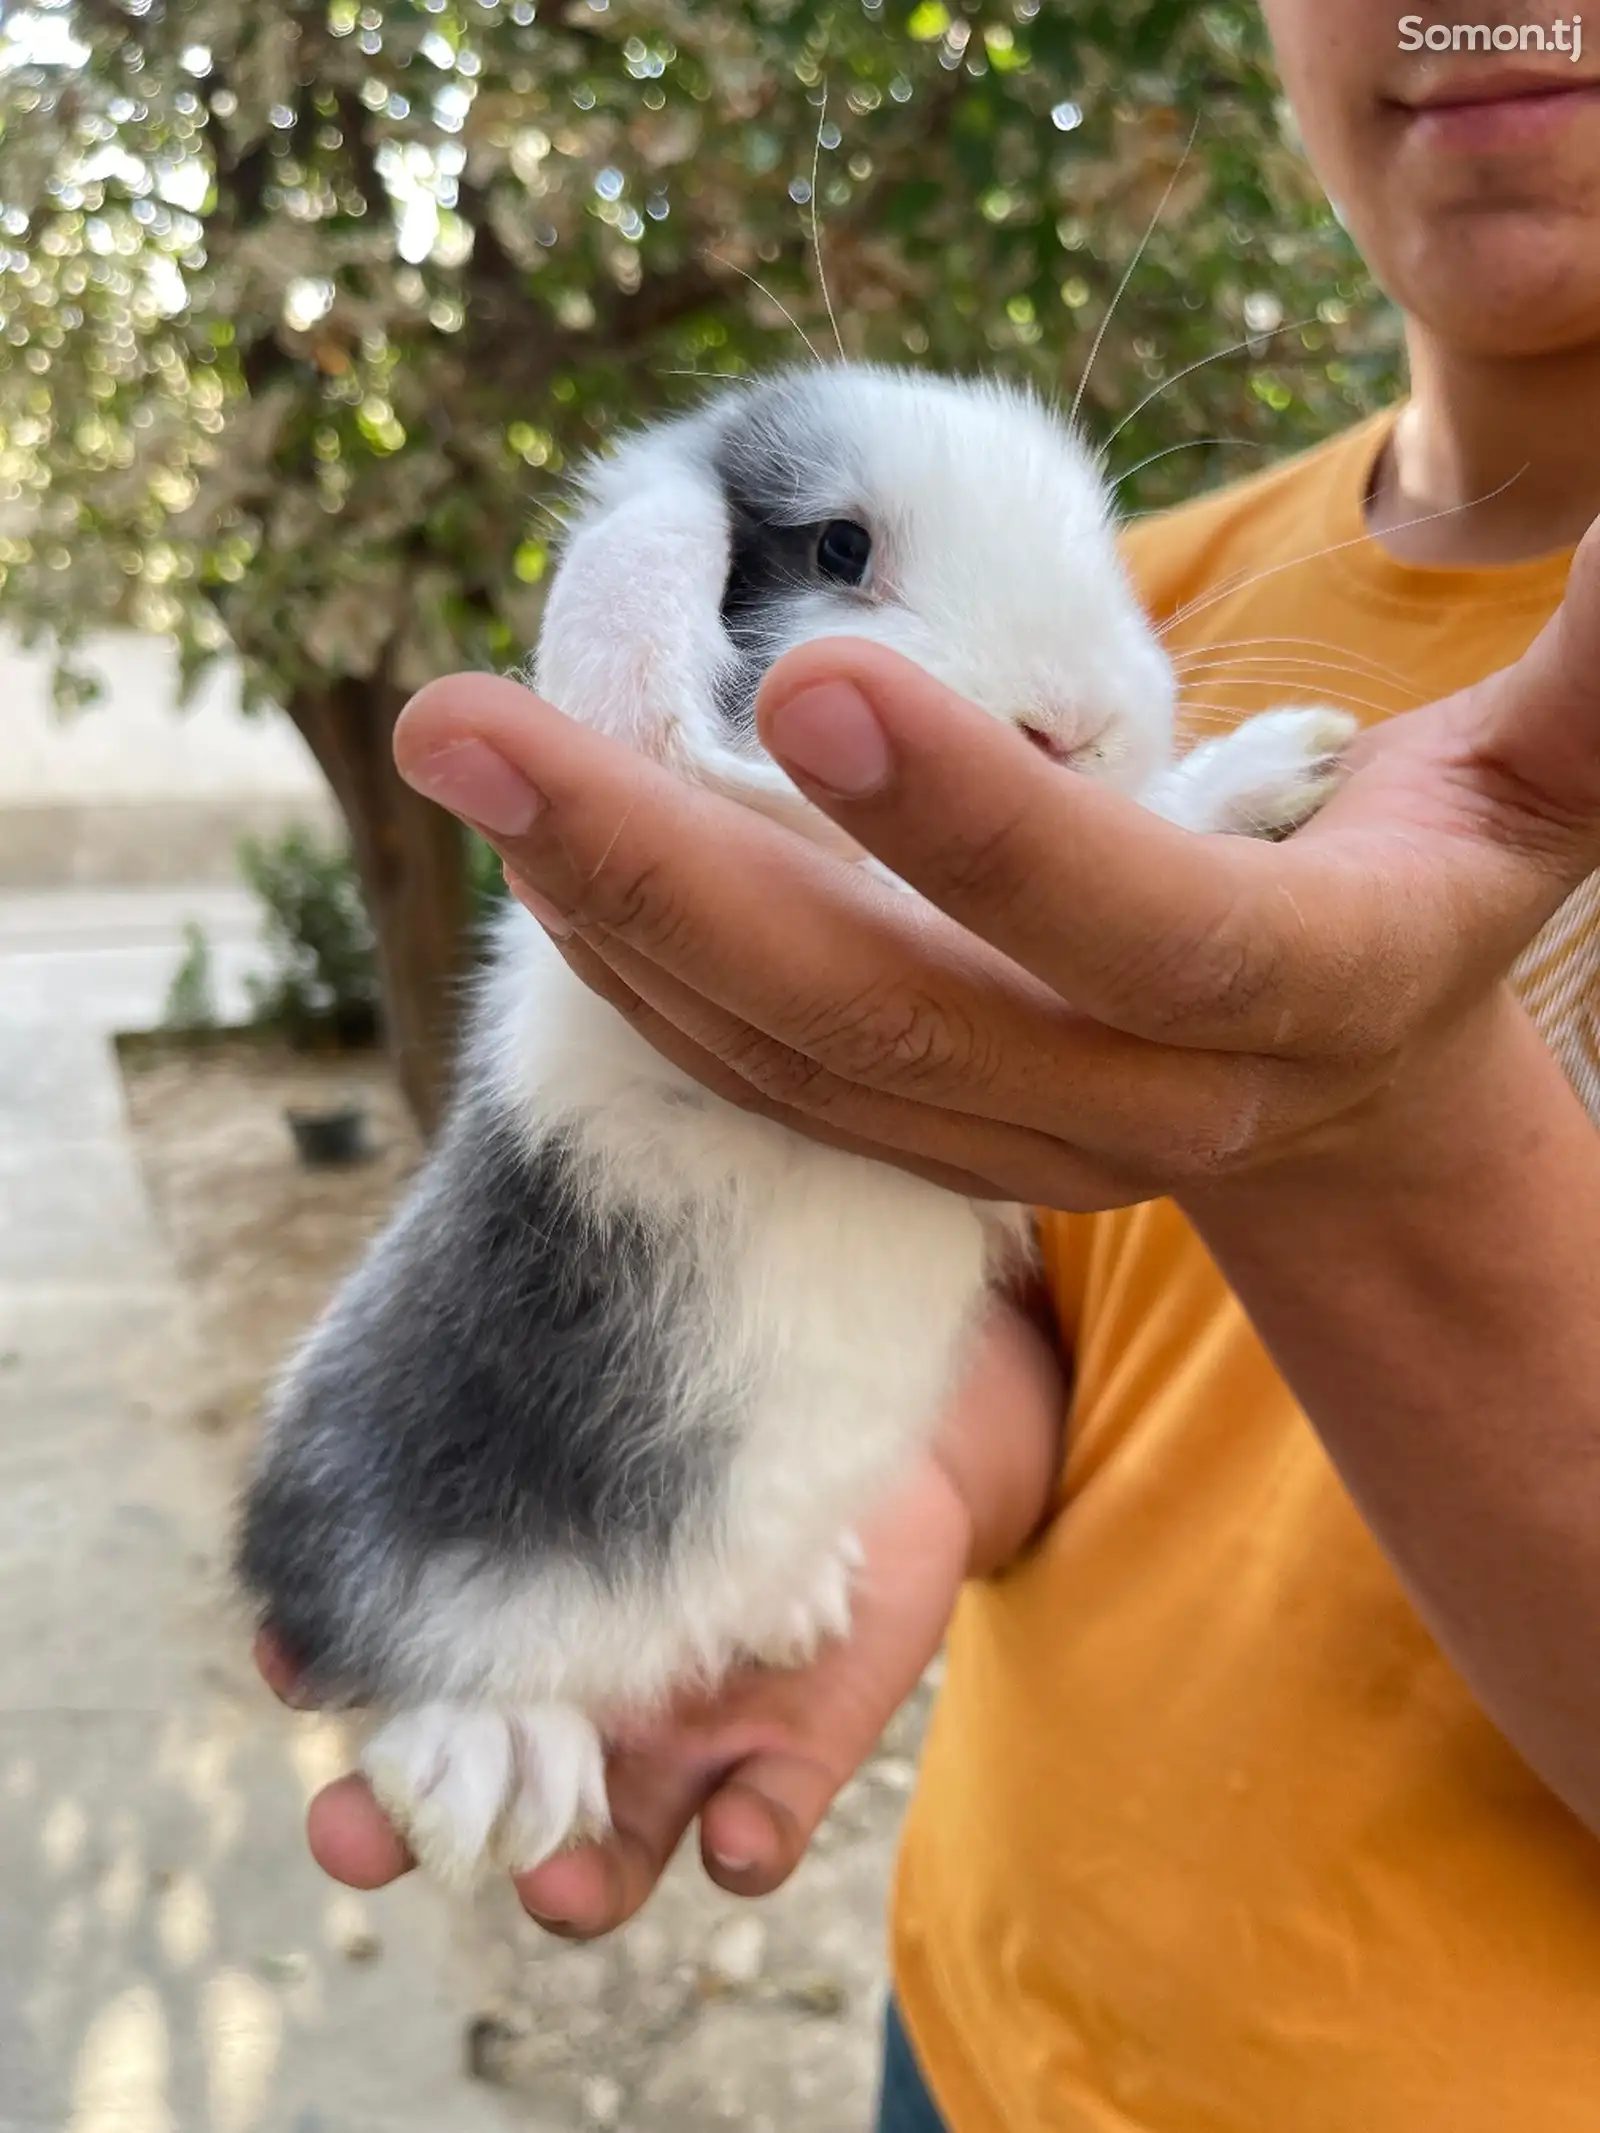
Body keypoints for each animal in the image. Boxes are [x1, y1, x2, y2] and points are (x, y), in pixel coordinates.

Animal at [234, 362, 1356, 1885]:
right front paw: (1267, 772)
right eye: (838, 549)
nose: (1078, 726)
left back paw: (795, 1603)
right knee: (402, 1657)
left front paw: (1296, 765)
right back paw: (499, 1774)